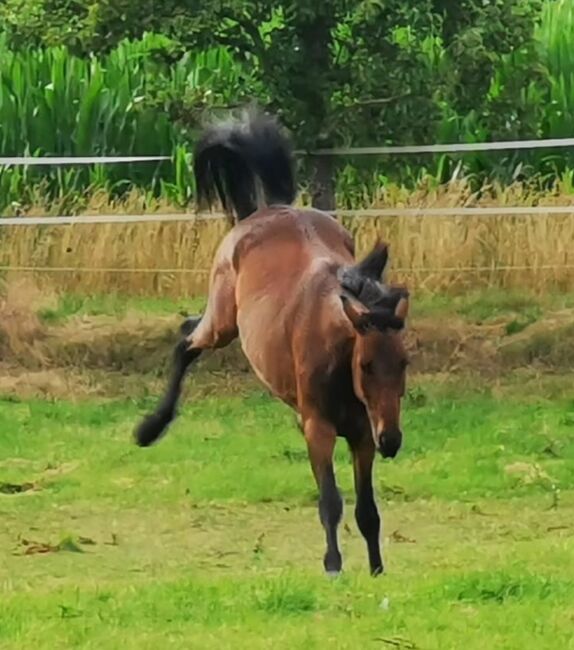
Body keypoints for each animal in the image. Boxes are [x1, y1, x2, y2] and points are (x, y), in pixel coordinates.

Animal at [136, 109, 410, 576]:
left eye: (406, 364)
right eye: (367, 365)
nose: (391, 441)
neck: (335, 353)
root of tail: (263, 212)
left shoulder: (360, 433)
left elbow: (367, 510)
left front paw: (376, 570)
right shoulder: (317, 428)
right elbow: (331, 501)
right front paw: (333, 566)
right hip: (222, 322)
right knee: (186, 340)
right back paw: (149, 429)